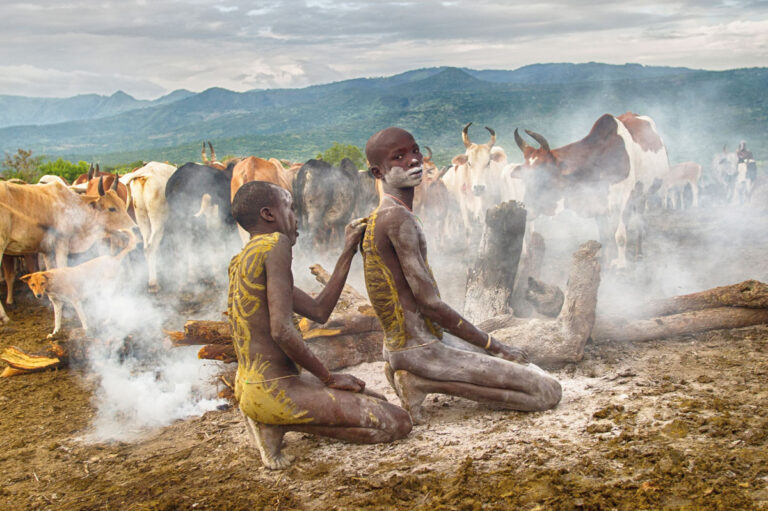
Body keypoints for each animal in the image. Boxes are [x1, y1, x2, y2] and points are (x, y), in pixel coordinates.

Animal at [0, 180, 136, 324]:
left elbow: (49, 272)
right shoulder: (62, 244)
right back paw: (4, 316)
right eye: (111, 208)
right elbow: (61, 268)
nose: (135, 228)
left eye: (123, 204)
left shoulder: (47, 251)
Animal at [512, 112, 668, 270]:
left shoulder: (624, 199)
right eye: (525, 177)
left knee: (639, 222)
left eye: (544, 177)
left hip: (642, 194)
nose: (527, 210)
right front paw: (605, 259)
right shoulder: (595, 201)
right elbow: (604, 234)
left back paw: (639, 254)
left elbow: (620, 236)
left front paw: (621, 263)